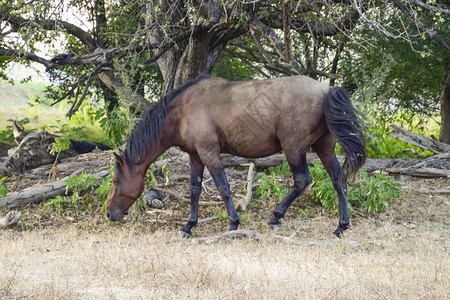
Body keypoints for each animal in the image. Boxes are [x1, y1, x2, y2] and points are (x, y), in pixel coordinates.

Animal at [105, 75, 366, 237]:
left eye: (116, 180)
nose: (108, 213)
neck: (182, 111)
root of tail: (326, 89)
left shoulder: (210, 153)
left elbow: (223, 187)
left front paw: (233, 223)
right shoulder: (195, 156)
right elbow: (194, 190)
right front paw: (189, 225)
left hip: (293, 149)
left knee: (302, 180)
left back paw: (276, 215)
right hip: (324, 148)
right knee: (339, 180)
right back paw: (341, 226)